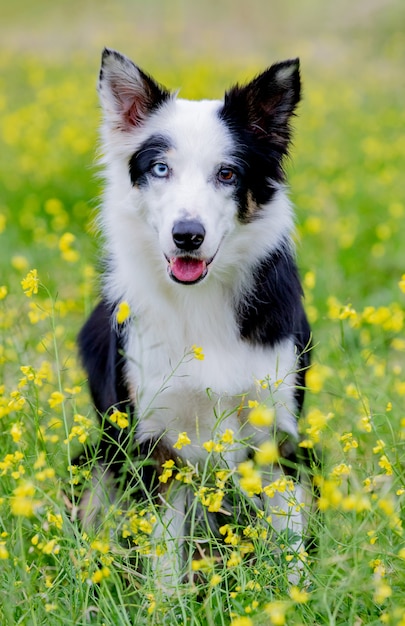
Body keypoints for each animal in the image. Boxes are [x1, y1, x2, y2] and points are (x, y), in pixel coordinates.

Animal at [79, 48, 312, 584]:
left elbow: (291, 544)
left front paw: (300, 594)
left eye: (227, 174)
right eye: (161, 168)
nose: (188, 235)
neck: (199, 300)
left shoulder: (277, 437)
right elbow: (164, 554)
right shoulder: (156, 445)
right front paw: (167, 598)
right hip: (101, 456)